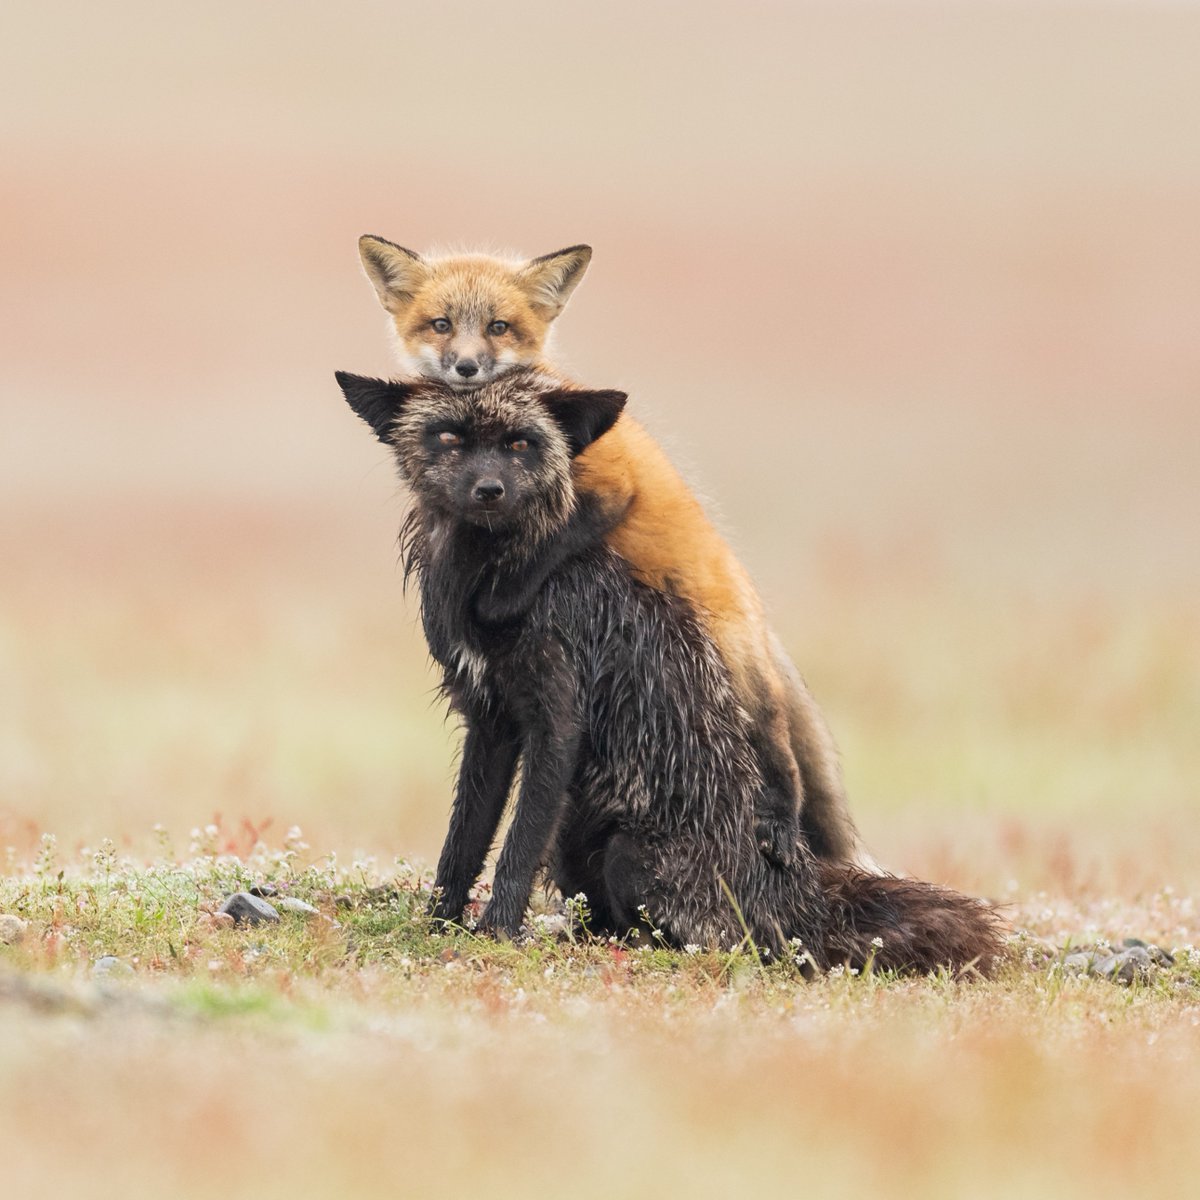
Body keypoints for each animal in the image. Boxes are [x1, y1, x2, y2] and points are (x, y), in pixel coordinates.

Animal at [333, 366, 1003, 973]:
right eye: (449, 437)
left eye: (522, 443)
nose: (490, 490)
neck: (482, 576)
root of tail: (798, 896)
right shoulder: (490, 718)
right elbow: (463, 843)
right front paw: (439, 925)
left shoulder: (555, 714)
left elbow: (514, 849)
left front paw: (497, 932)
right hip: (574, 845)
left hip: (628, 855)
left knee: (717, 942)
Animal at [357, 235, 876, 872]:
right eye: (441, 324)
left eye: (499, 326)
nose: (466, 368)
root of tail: (755, 614)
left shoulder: (610, 486)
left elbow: (552, 543)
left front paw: (500, 601)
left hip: (734, 670)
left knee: (777, 745)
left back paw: (780, 816)